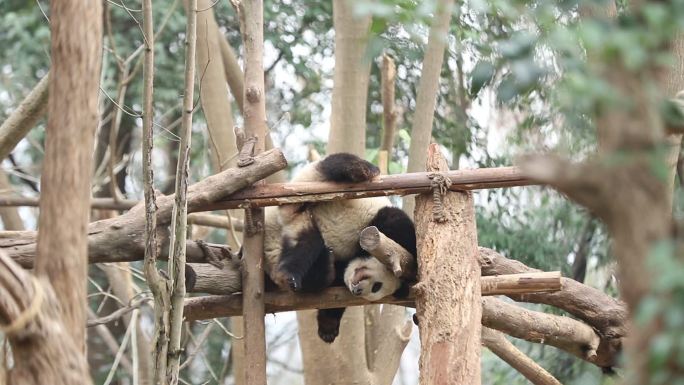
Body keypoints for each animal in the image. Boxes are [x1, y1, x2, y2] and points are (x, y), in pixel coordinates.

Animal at [264, 153, 416, 342]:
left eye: (375, 289)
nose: (358, 290)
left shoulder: (341, 277)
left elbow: (331, 297)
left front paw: (328, 327)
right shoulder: (387, 228)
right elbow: (397, 224)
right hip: (307, 190)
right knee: (333, 164)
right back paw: (363, 169)